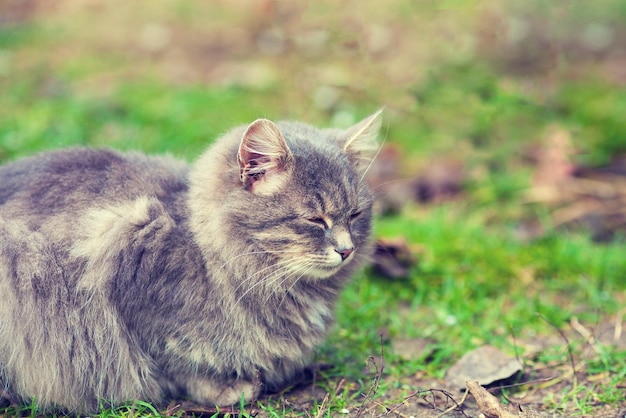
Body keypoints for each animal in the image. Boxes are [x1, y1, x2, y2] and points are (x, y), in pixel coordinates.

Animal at [0, 109, 380, 414]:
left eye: (355, 215)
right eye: (315, 219)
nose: (346, 249)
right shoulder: (128, 278)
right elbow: (174, 362)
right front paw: (229, 388)